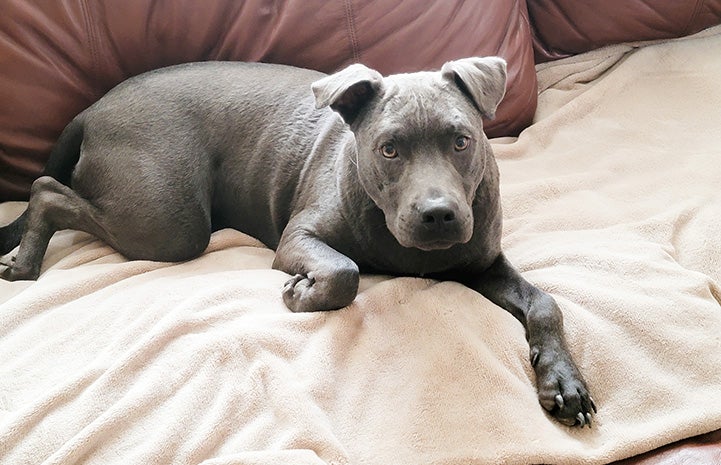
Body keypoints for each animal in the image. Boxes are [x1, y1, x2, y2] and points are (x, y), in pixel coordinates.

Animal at [0, 57, 592, 424]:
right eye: (389, 149)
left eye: (462, 141)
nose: (439, 215)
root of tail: (93, 107)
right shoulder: (299, 238)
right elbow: (345, 272)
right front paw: (303, 292)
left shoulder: (481, 261)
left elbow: (545, 303)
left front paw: (563, 381)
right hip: (169, 223)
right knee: (47, 189)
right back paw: (25, 261)